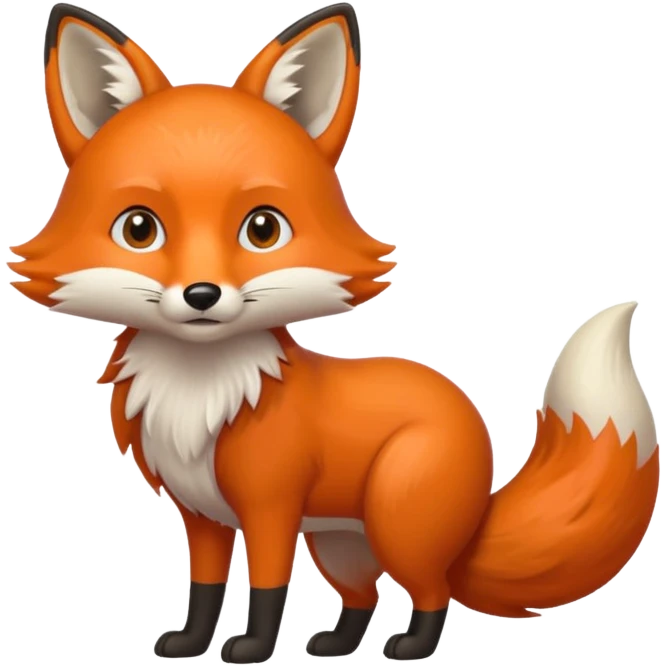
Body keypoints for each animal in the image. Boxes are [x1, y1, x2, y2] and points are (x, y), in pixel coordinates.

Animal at [11, 2, 660, 663]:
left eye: (262, 229)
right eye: (139, 229)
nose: (201, 295)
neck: (202, 395)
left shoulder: (271, 507)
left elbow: (267, 587)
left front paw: (252, 647)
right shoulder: (202, 515)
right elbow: (205, 588)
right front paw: (191, 642)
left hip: (398, 525)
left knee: (433, 590)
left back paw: (411, 647)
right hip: (340, 544)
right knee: (362, 597)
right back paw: (337, 643)